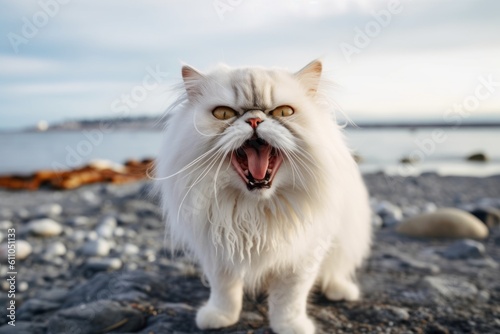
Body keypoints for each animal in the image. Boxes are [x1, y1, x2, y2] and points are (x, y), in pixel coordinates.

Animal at [156, 60, 372, 334]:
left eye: (283, 112)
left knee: (334, 273)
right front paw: (220, 317)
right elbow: (225, 291)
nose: (255, 119)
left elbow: (289, 298)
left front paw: (290, 326)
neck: (255, 209)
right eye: (223, 114)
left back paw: (341, 291)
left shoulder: (302, 255)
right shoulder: (217, 251)